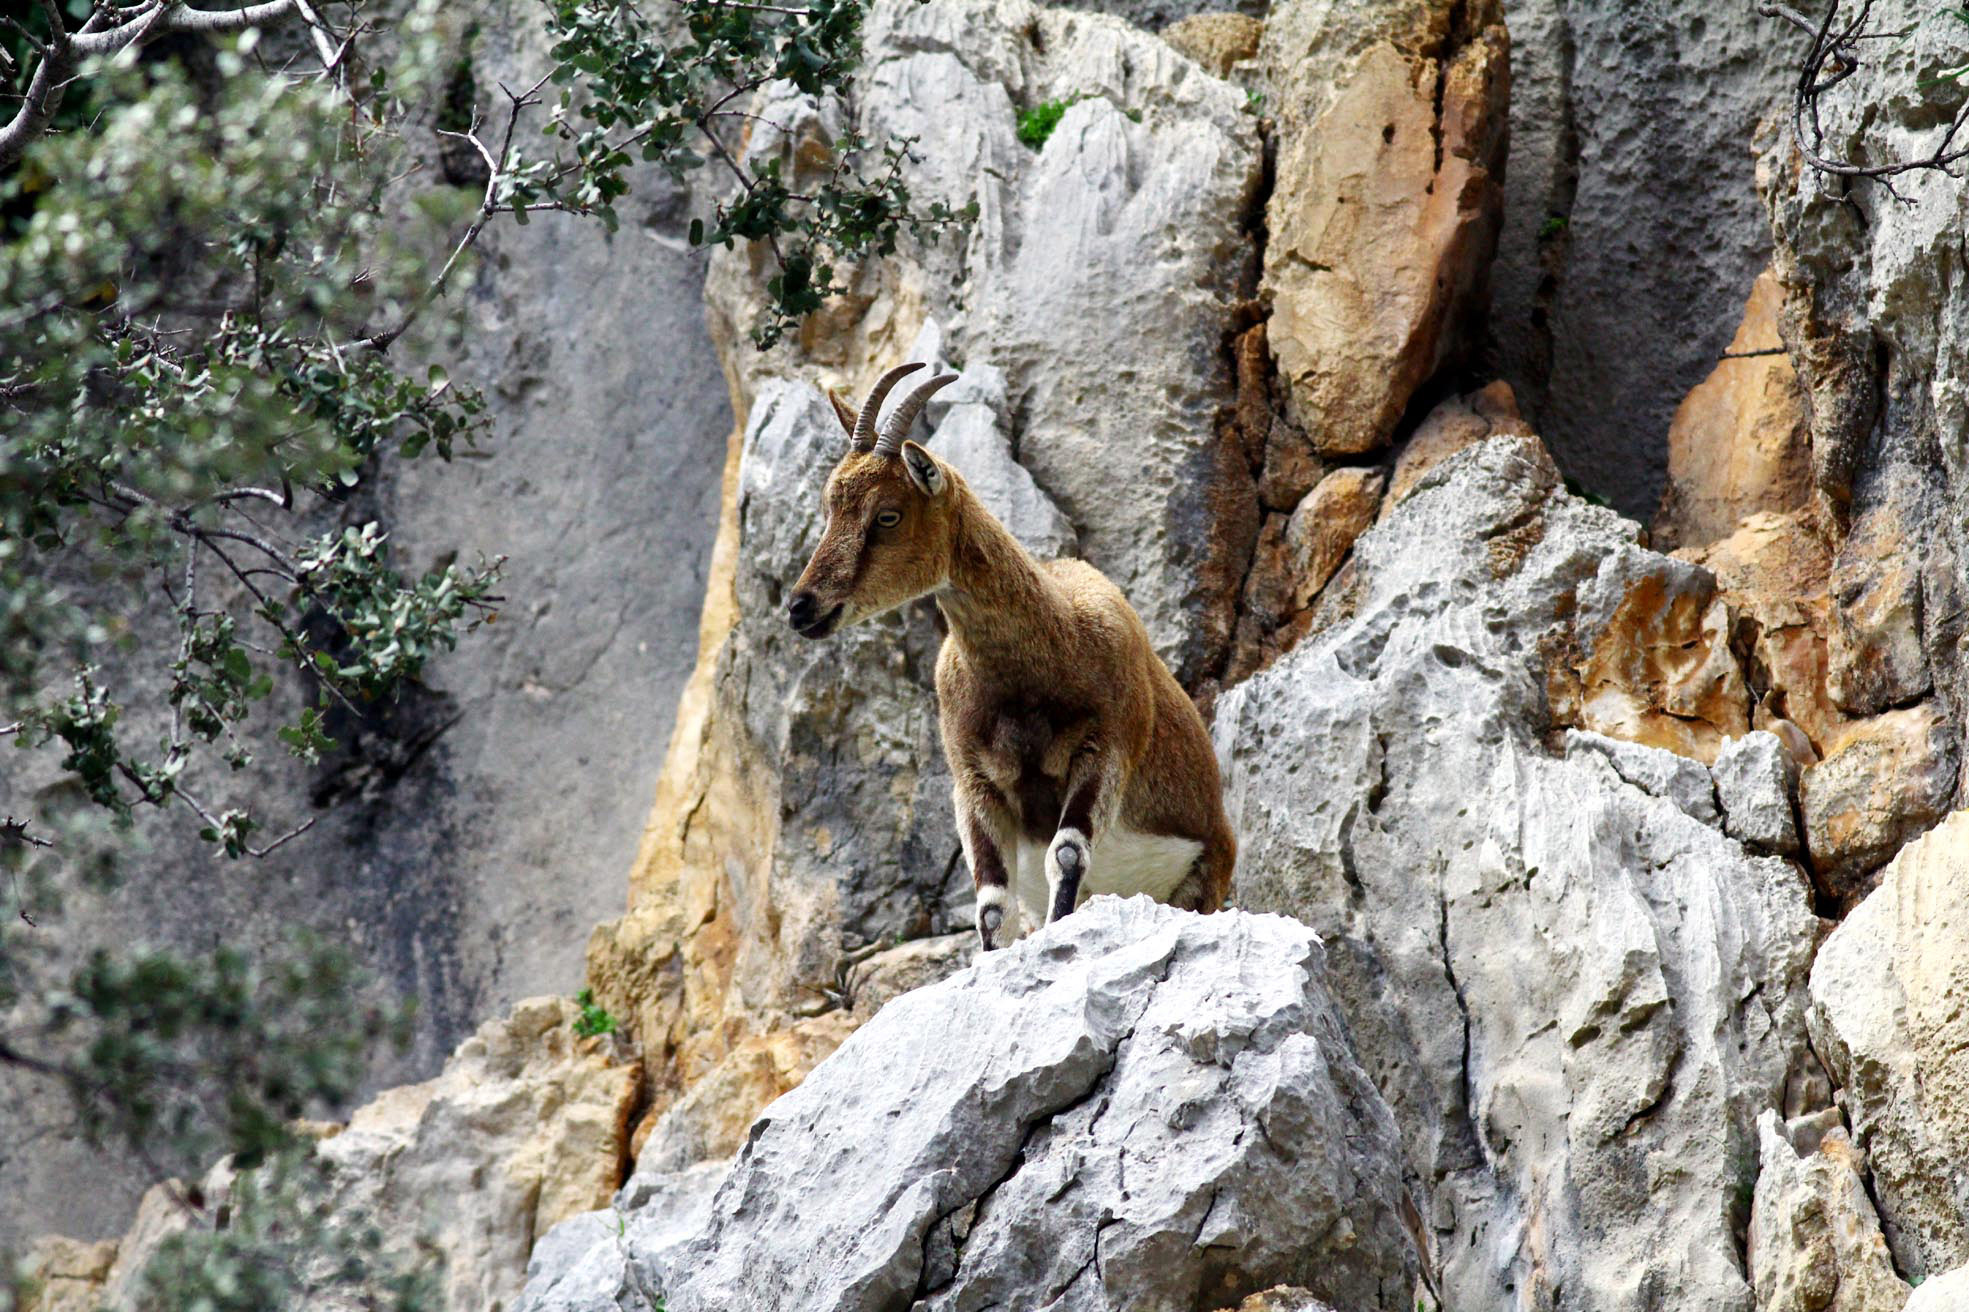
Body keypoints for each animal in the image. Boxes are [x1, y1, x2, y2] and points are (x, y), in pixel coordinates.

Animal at [783, 362, 1228, 945]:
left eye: (886, 516)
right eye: (829, 507)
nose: (800, 606)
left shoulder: (1108, 747)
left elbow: (1067, 853)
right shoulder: (973, 782)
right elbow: (992, 905)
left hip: (1208, 875)